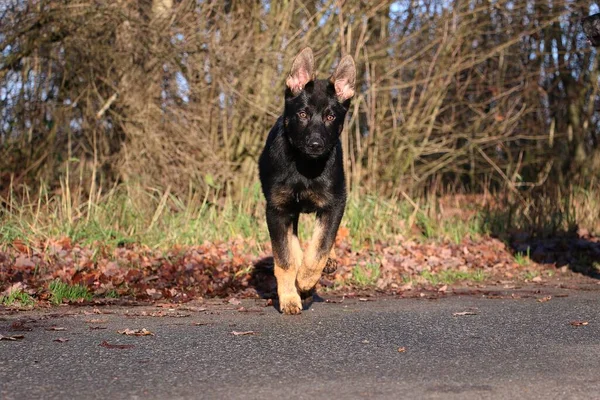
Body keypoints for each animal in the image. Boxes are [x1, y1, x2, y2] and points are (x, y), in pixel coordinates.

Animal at [258, 48, 356, 314]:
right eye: (302, 114)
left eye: (331, 116)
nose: (315, 144)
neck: (305, 167)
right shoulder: (277, 210)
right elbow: (285, 259)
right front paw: (290, 298)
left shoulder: (335, 205)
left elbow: (319, 249)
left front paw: (305, 281)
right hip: (289, 212)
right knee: (293, 247)